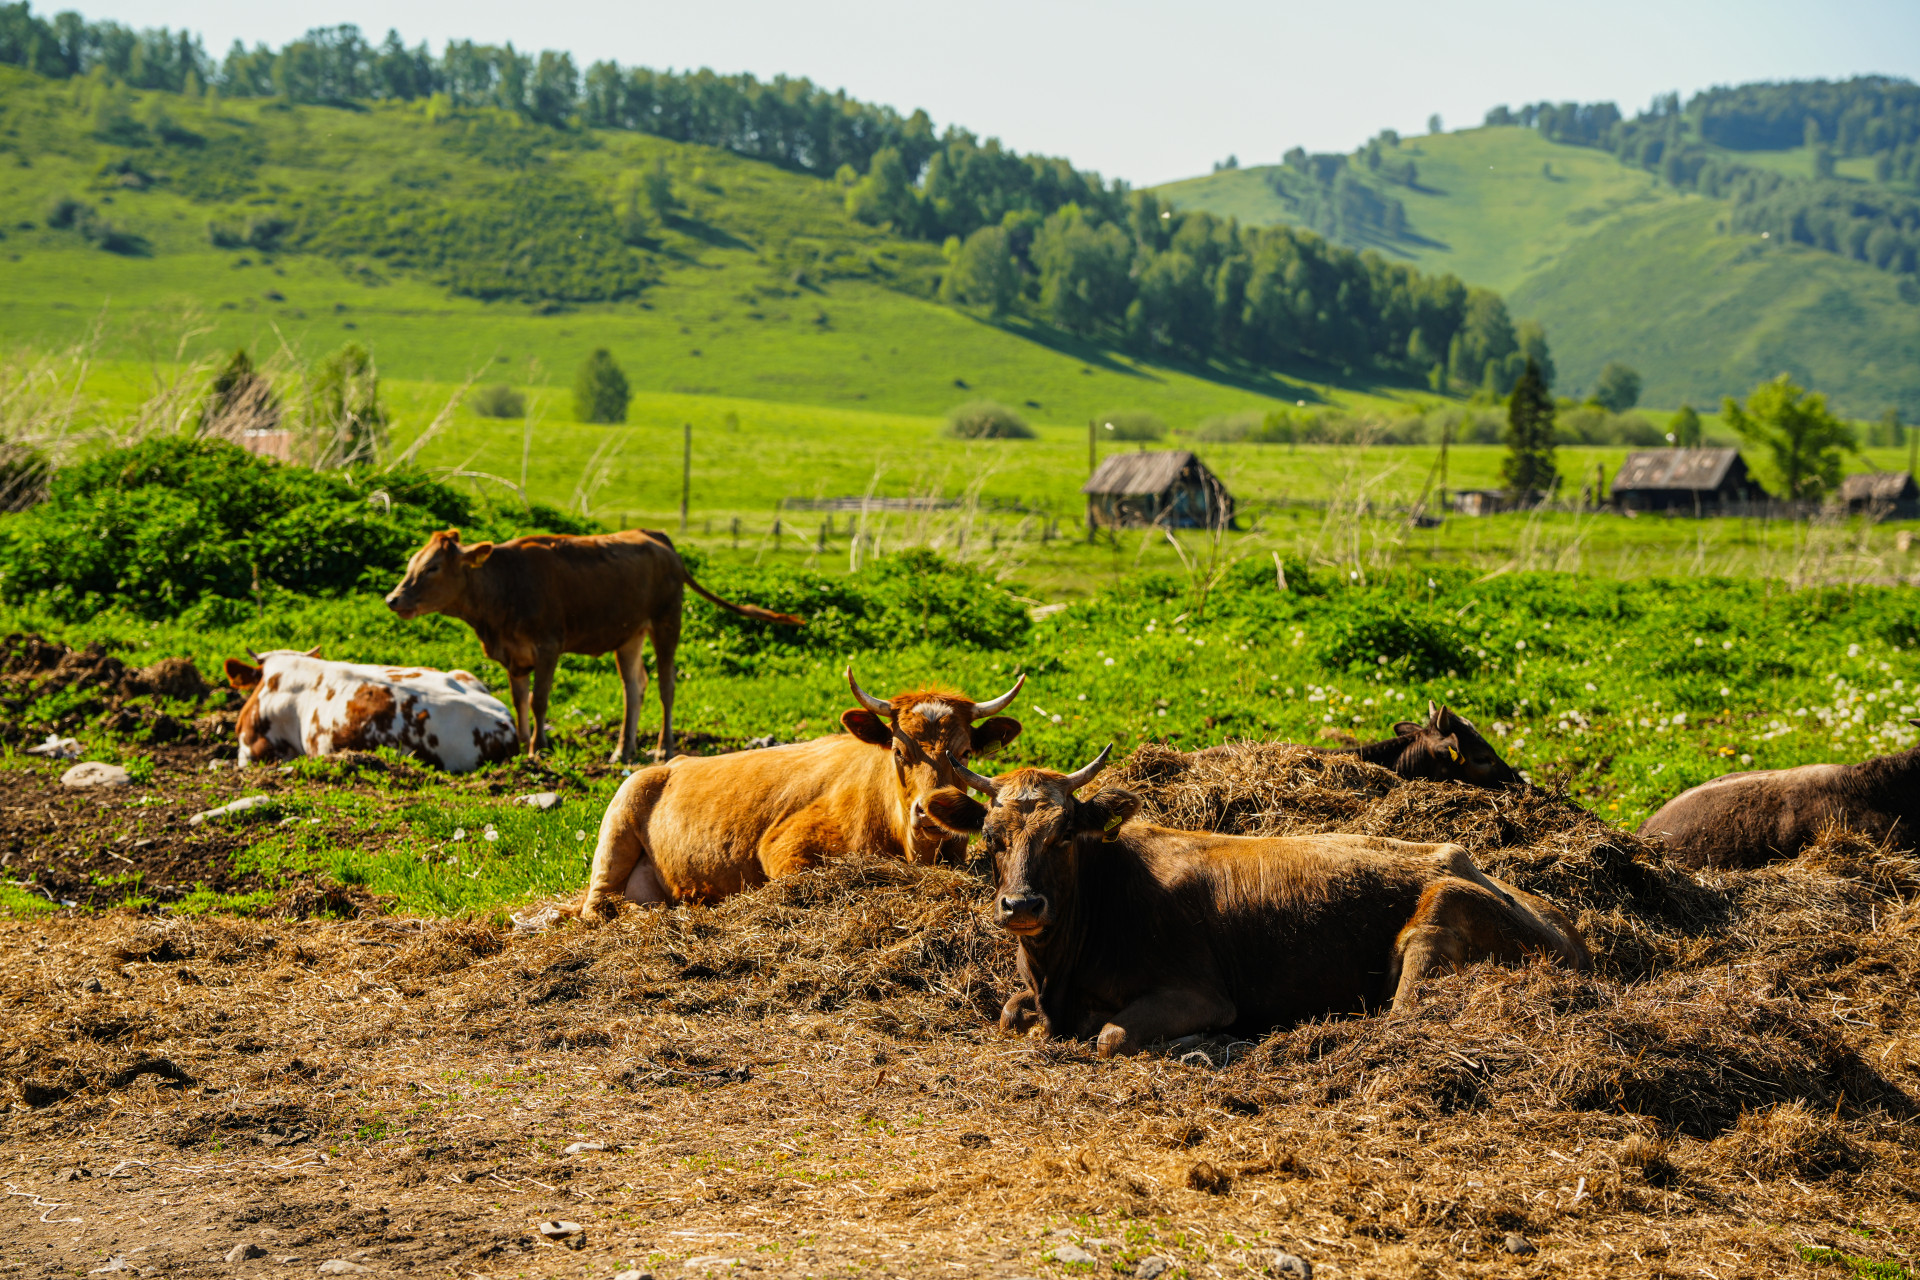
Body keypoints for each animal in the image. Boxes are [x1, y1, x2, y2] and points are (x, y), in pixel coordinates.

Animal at [383, 528, 803, 763]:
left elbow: (539, 699)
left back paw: (662, 748)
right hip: (629, 635)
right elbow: (518, 700)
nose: (393, 599)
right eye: (411, 563)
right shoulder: (513, 654)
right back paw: (623, 749)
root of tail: (658, 539)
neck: (502, 589)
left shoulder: (548, 645)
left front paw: (539, 747)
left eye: (433, 567)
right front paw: (520, 745)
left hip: (667, 621)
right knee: (633, 687)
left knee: (665, 686)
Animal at [574, 668, 1024, 917]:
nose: (927, 812)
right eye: (899, 750)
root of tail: (673, 763)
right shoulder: (783, 849)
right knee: (598, 907)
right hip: (616, 827)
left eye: (964, 753)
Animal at [923, 746, 1589, 1057]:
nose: (1021, 906)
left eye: (1063, 835)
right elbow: (1009, 1014)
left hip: (1434, 918)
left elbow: (1111, 1036)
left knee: (1401, 1014)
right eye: (991, 837)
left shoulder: (1198, 992)